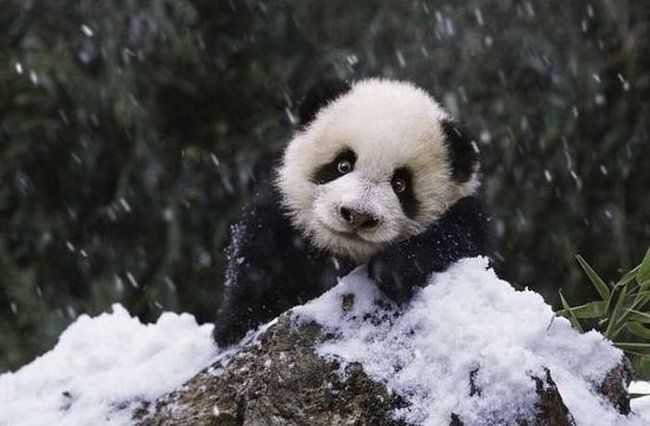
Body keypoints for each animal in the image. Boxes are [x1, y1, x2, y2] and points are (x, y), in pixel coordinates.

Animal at [211, 77, 486, 346]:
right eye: (343, 165)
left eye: (400, 184)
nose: (359, 215)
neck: (343, 255)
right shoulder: (280, 216)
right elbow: (258, 259)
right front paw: (237, 323)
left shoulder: (467, 215)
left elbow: (459, 235)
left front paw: (395, 267)